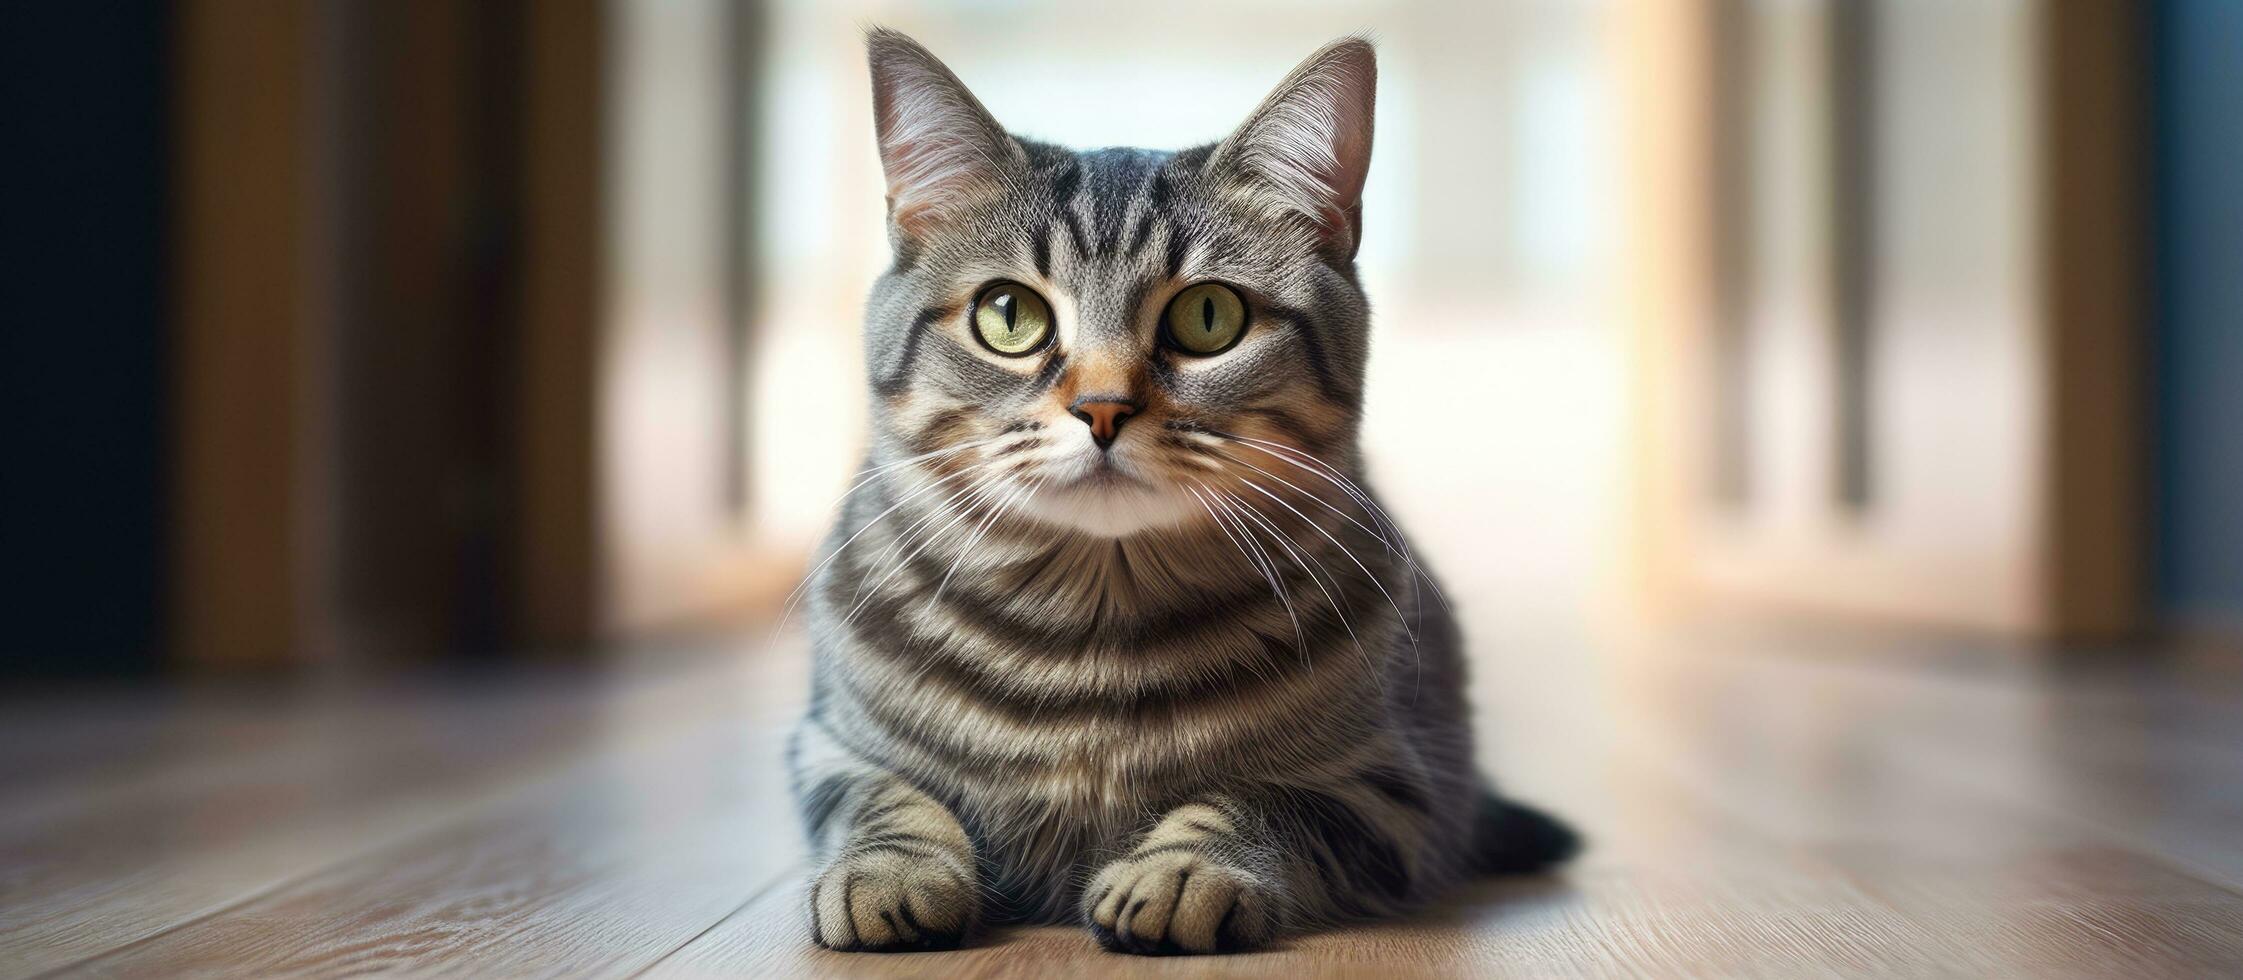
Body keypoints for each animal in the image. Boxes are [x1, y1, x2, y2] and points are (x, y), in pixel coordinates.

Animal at [789, 26, 1579, 950]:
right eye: (1008, 315)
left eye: (1208, 317)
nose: (1102, 406)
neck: (1084, 656)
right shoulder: (826, 745)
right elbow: (883, 798)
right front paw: (891, 871)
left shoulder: (1391, 791)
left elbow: (1255, 799)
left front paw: (1180, 871)